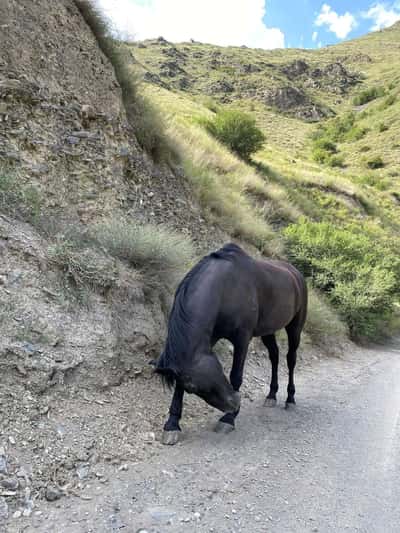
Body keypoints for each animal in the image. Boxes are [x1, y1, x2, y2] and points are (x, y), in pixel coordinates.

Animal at [155, 243, 306, 442]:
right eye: (192, 388)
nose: (234, 403)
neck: (226, 287)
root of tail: (296, 274)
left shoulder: (242, 338)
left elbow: (236, 375)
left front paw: (228, 419)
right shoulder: (209, 340)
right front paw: (172, 424)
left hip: (295, 328)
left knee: (290, 359)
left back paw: (290, 399)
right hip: (268, 331)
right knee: (274, 356)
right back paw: (272, 395)